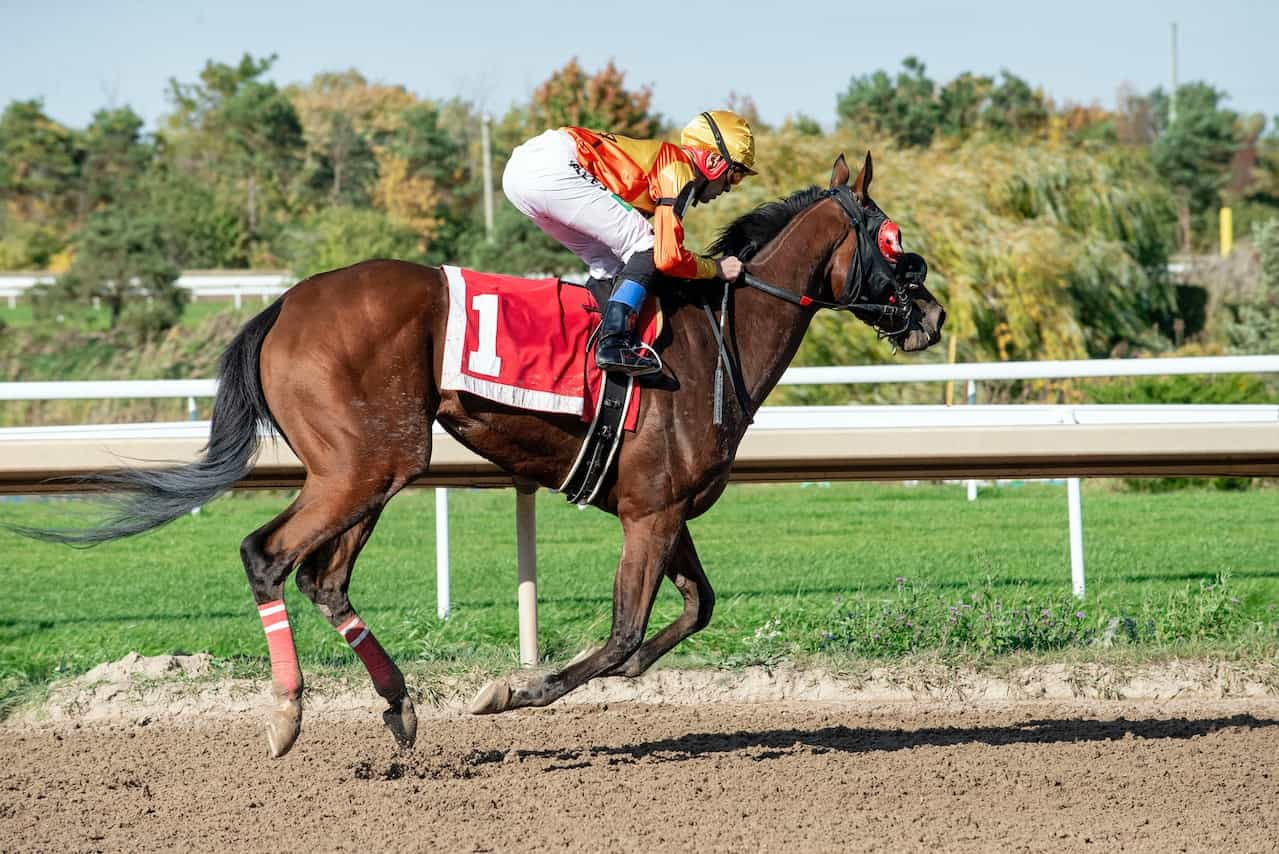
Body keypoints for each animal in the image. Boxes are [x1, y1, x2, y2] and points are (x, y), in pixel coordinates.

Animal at [9, 151, 941, 751]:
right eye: (893, 241)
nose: (929, 316)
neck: (718, 340)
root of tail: (281, 306)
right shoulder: (649, 512)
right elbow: (622, 631)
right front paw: (514, 690)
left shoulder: (665, 507)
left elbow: (690, 611)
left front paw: (608, 676)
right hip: (364, 464)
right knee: (267, 555)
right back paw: (287, 714)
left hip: (372, 467)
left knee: (323, 577)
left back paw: (397, 708)